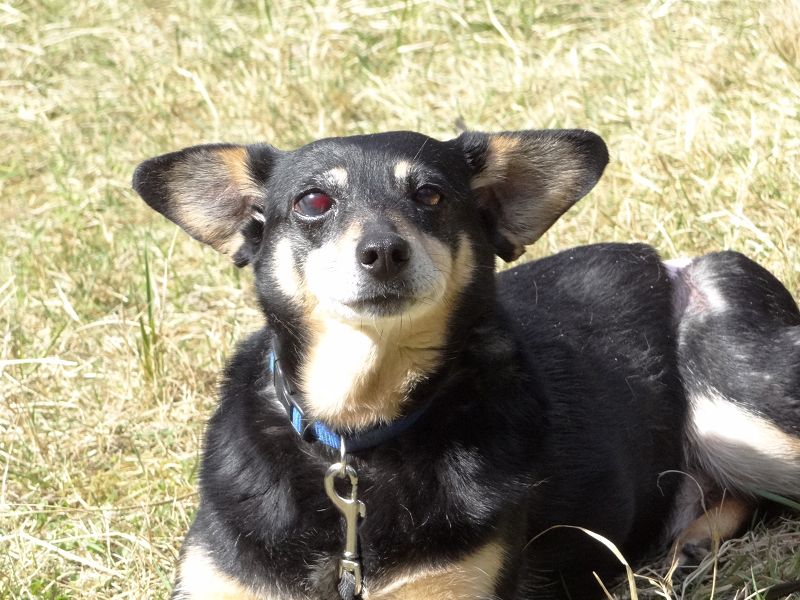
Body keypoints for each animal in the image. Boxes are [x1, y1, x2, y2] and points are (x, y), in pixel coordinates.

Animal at [132, 128, 800, 599]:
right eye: (314, 201)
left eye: (430, 194)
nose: (383, 251)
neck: (358, 431)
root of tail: (675, 263)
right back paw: (691, 546)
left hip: (737, 399)